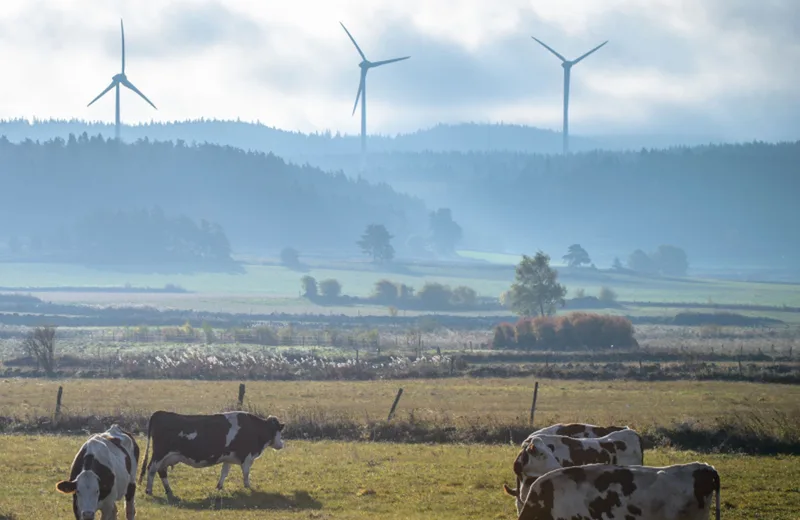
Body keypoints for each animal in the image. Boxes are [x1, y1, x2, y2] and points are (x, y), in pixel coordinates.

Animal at [138, 410, 284, 500]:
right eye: (279, 430)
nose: (282, 444)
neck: (255, 429)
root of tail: (160, 413)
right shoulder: (247, 457)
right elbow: (246, 473)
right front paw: (248, 487)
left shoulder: (228, 457)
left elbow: (224, 472)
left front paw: (219, 487)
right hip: (159, 454)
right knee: (151, 469)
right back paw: (149, 490)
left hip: (166, 457)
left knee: (161, 472)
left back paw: (168, 490)